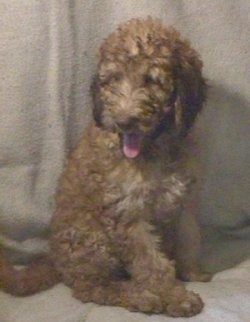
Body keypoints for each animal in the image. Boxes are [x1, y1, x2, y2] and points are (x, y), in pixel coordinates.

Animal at [0, 16, 211, 316]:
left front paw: (192, 272)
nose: (123, 121)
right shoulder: (126, 213)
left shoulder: (184, 201)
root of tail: (55, 259)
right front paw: (175, 296)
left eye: (151, 80)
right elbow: (151, 264)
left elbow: (189, 238)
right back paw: (139, 295)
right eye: (113, 80)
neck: (154, 149)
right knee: (91, 287)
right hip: (91, 239)